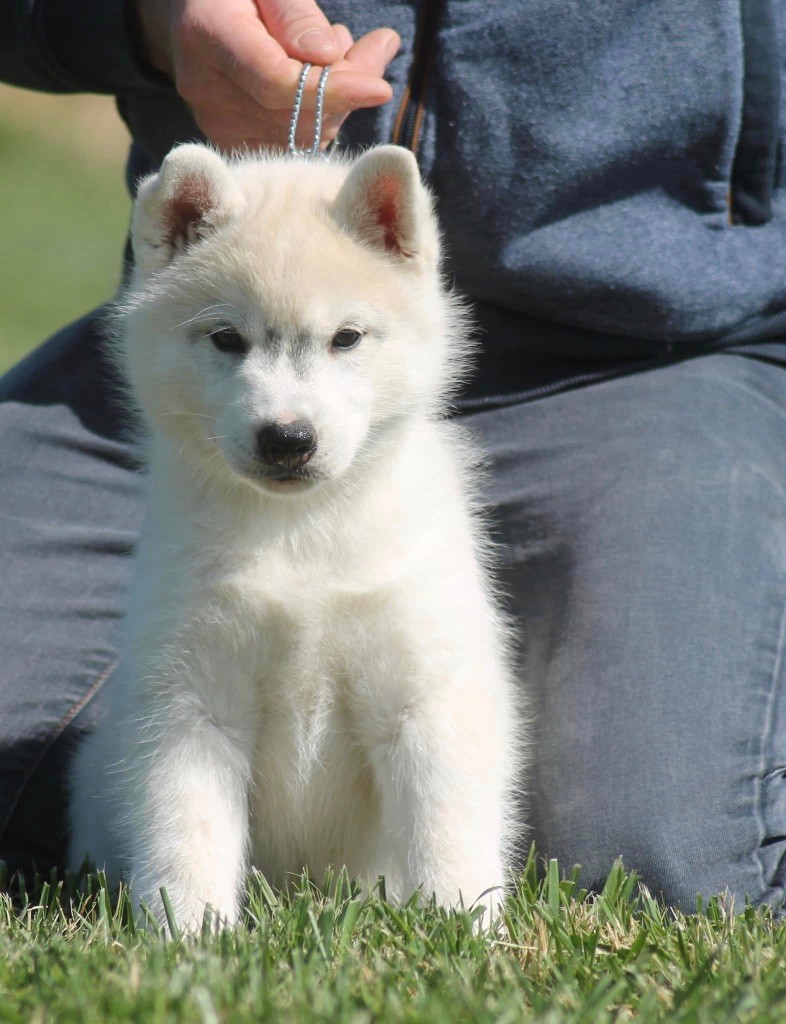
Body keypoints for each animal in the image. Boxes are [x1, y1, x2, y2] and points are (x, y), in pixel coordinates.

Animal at [69, 142, 521, 929]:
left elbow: (446, 828)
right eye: (226, 339)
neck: (300, 535)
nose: (286, 439)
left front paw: (463, 929)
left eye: (346, 338)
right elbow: (185, 829)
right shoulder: (193, 700)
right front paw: (189, 936)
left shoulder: (425, 693)